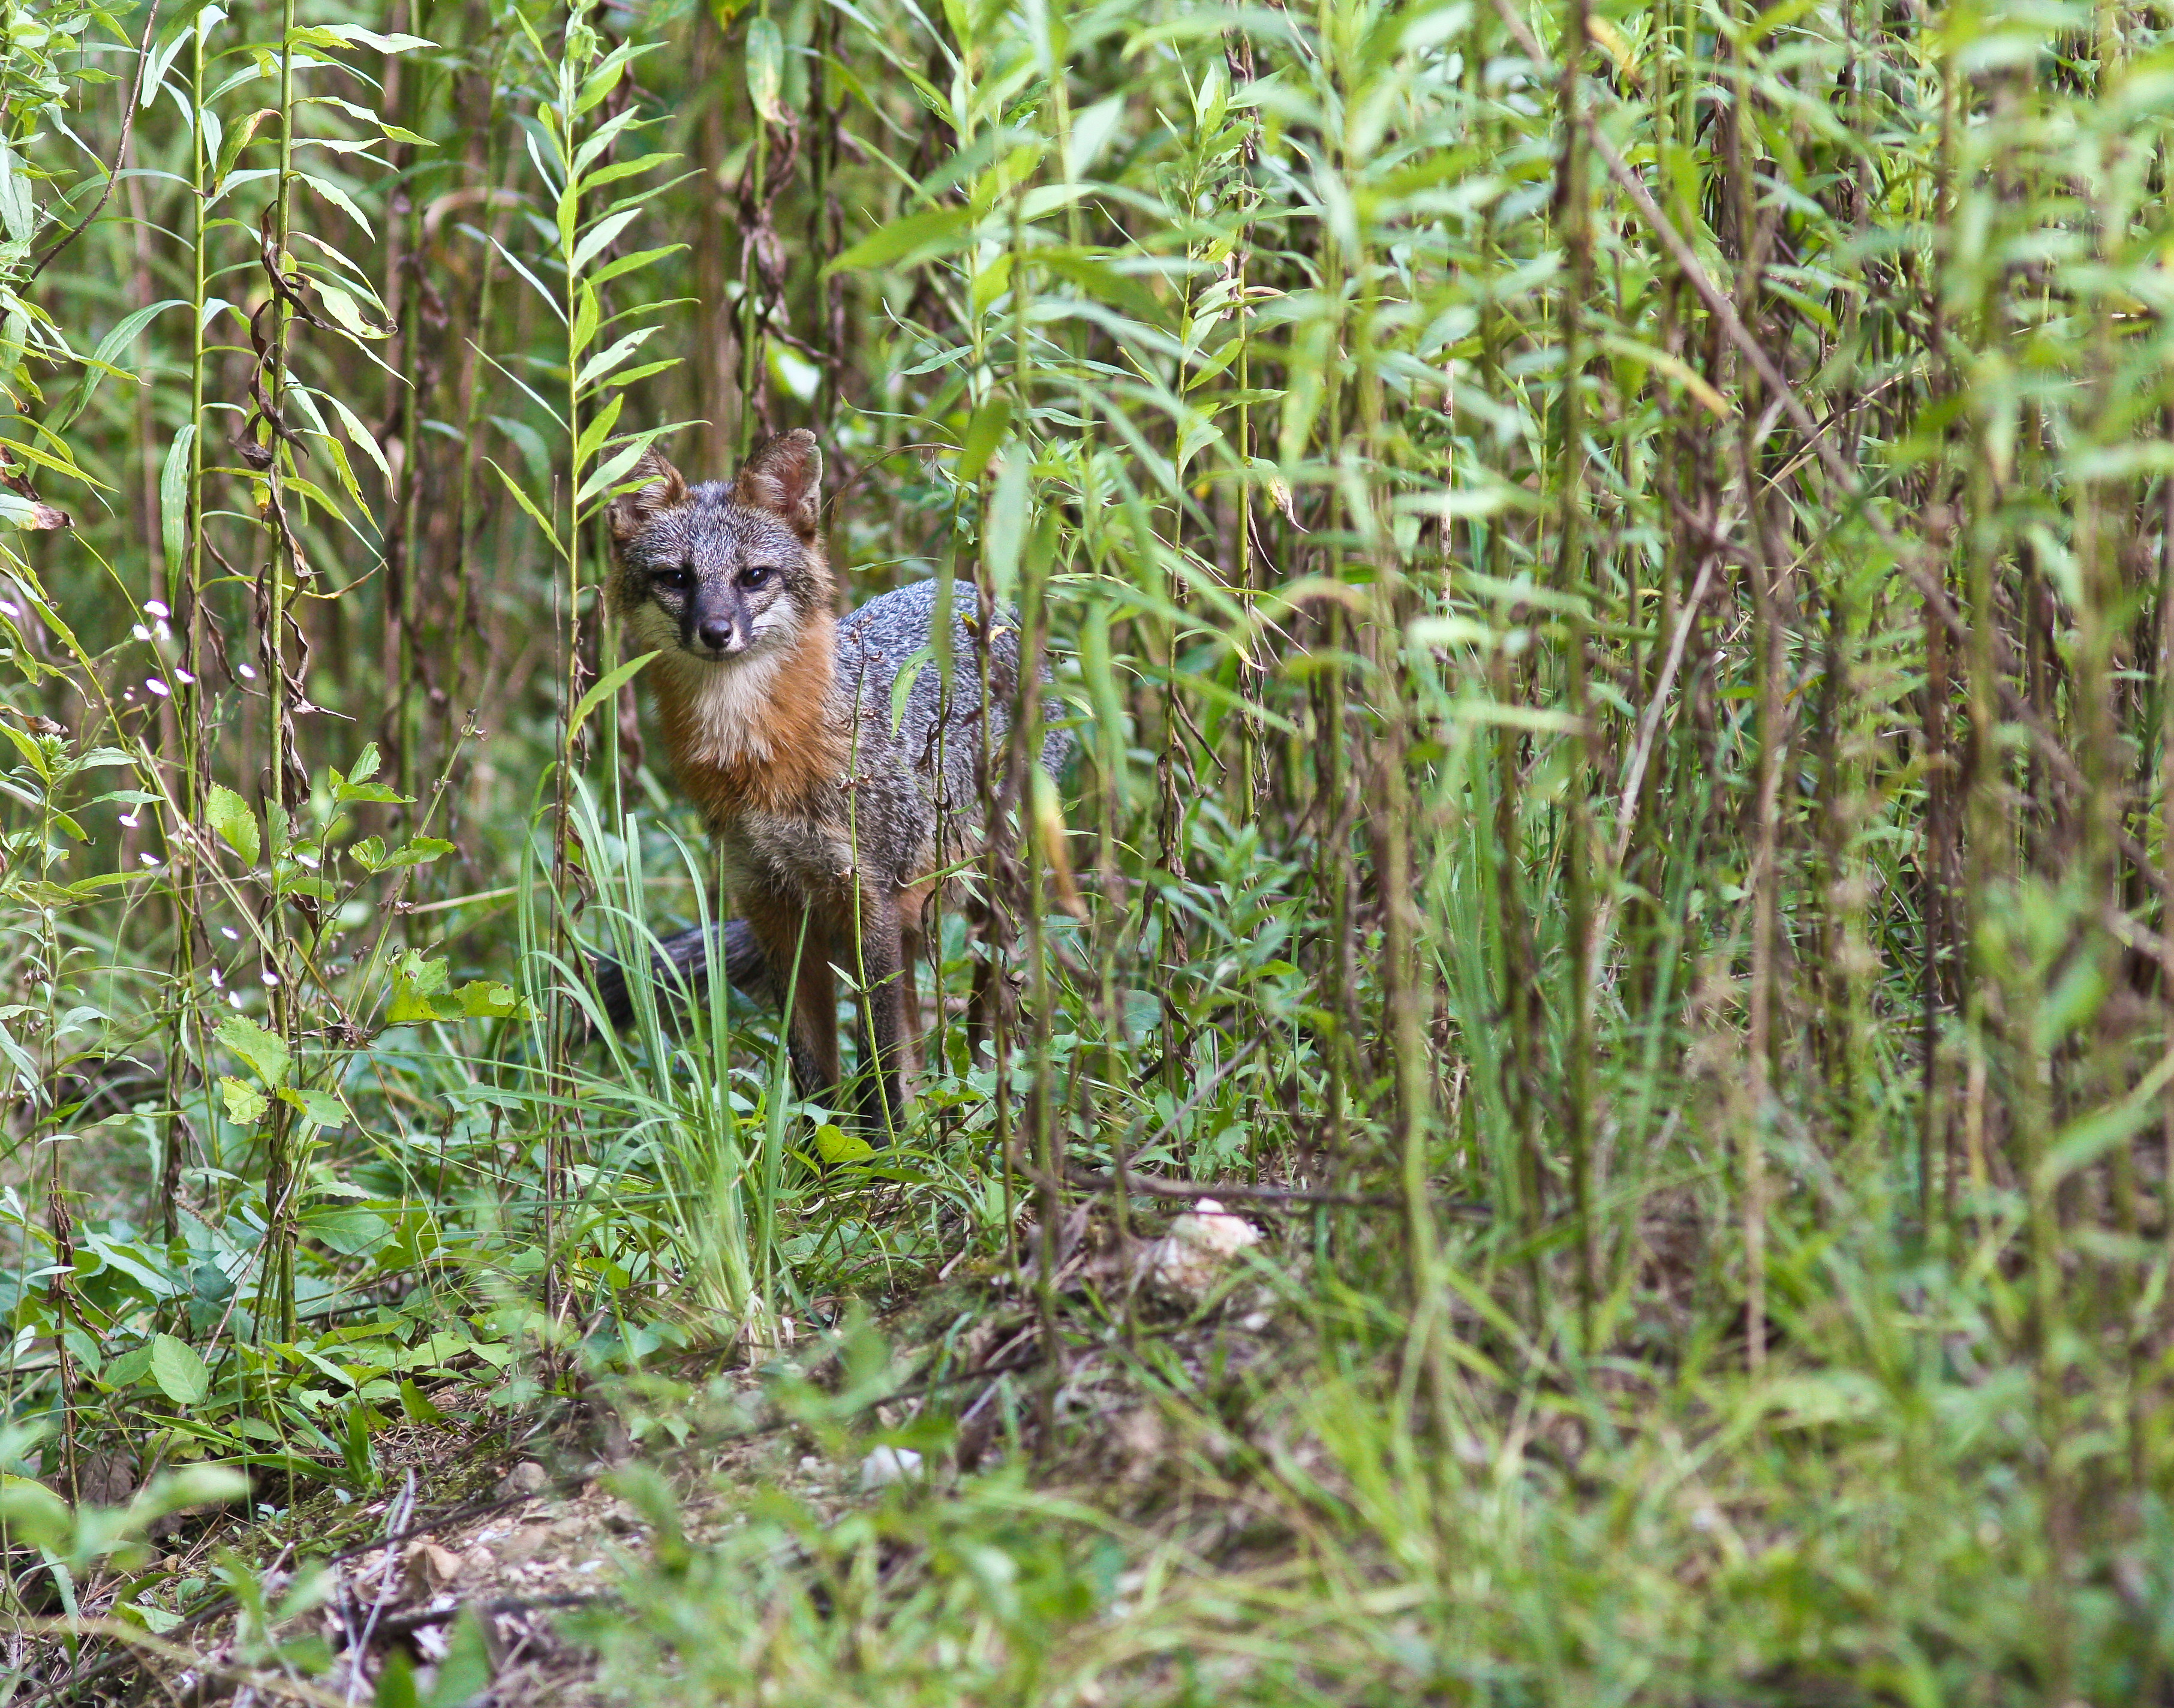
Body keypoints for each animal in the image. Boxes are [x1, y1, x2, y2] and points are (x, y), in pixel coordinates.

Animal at [593, 429, 1065, 1135]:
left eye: (753, 577)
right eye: (676, 578)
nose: (716, 632)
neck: (756, 756)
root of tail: (974, 592)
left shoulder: (865, 895)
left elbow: (877, 1053)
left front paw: (886, 1150)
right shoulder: (771, 901)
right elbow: (814, 1063)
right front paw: (829, 1151)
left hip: (990, 892)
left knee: (986, 1005)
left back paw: (984, 1096)